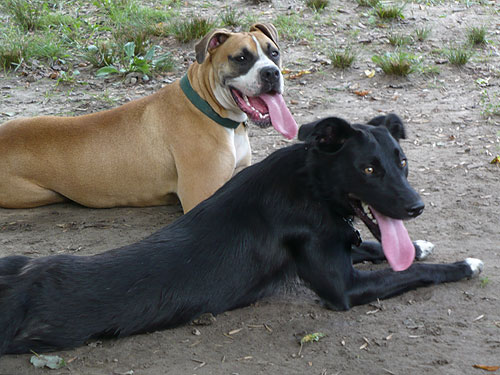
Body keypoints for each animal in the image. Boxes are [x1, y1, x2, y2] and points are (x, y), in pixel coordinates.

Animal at [0, 23, 296, 213]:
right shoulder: (201, 195)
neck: (211, 108)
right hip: (36, 194)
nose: (271, 73)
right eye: (241, 58)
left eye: (274, 52)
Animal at [0, 114, 484, 356]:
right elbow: (413, 273)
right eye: (368, 169)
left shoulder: (339, 243)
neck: (311, 186)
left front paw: (418, 244)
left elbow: (372, 246)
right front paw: (465, 264)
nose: (417, 207)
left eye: (402, 161)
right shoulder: (343, 288)